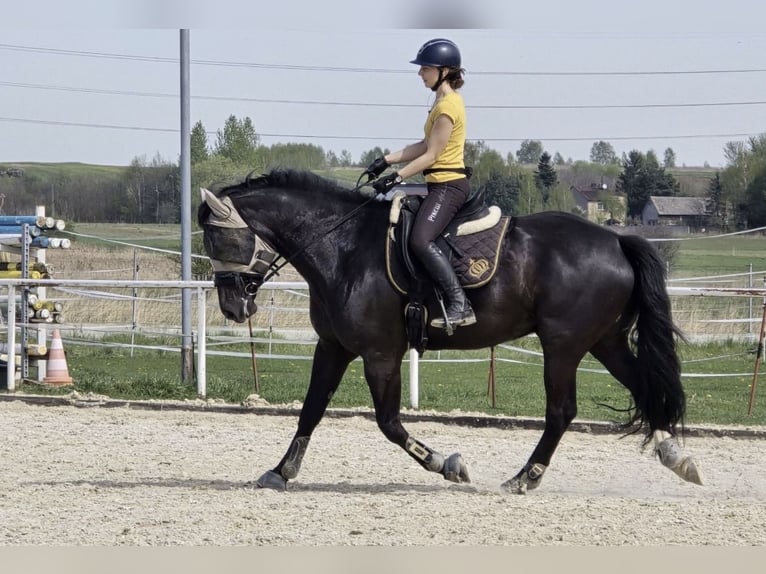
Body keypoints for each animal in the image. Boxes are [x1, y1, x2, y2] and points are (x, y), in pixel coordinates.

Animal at [196, 168, 704, 496]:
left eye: (219, 238)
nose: (232, 306)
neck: (342, 247)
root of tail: (616, 240)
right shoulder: (334, 346)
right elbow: (311, 411)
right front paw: (281, 472)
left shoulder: (380, 353)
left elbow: (389, 423)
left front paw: (449, 465)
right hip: (604, 340)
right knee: (644, 387)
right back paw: (676, 457)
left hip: (563, 344)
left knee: (562, 411)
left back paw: (525, 478)